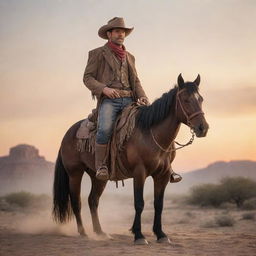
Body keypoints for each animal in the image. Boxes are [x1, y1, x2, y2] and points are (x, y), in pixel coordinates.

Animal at [52, 73, 208, 244]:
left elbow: (158, 204)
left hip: (97, 177)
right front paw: (139, 235)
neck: (151, 134)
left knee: (93, 201)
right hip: (75, 173)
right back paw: (83, 232)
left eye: (201, 99)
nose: (203, 128)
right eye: (186, 99)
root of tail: (68, 134)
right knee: (76, 202)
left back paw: (100, 232)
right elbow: (139, 203)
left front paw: (161, 234)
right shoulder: (139, 173)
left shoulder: (163, 175)